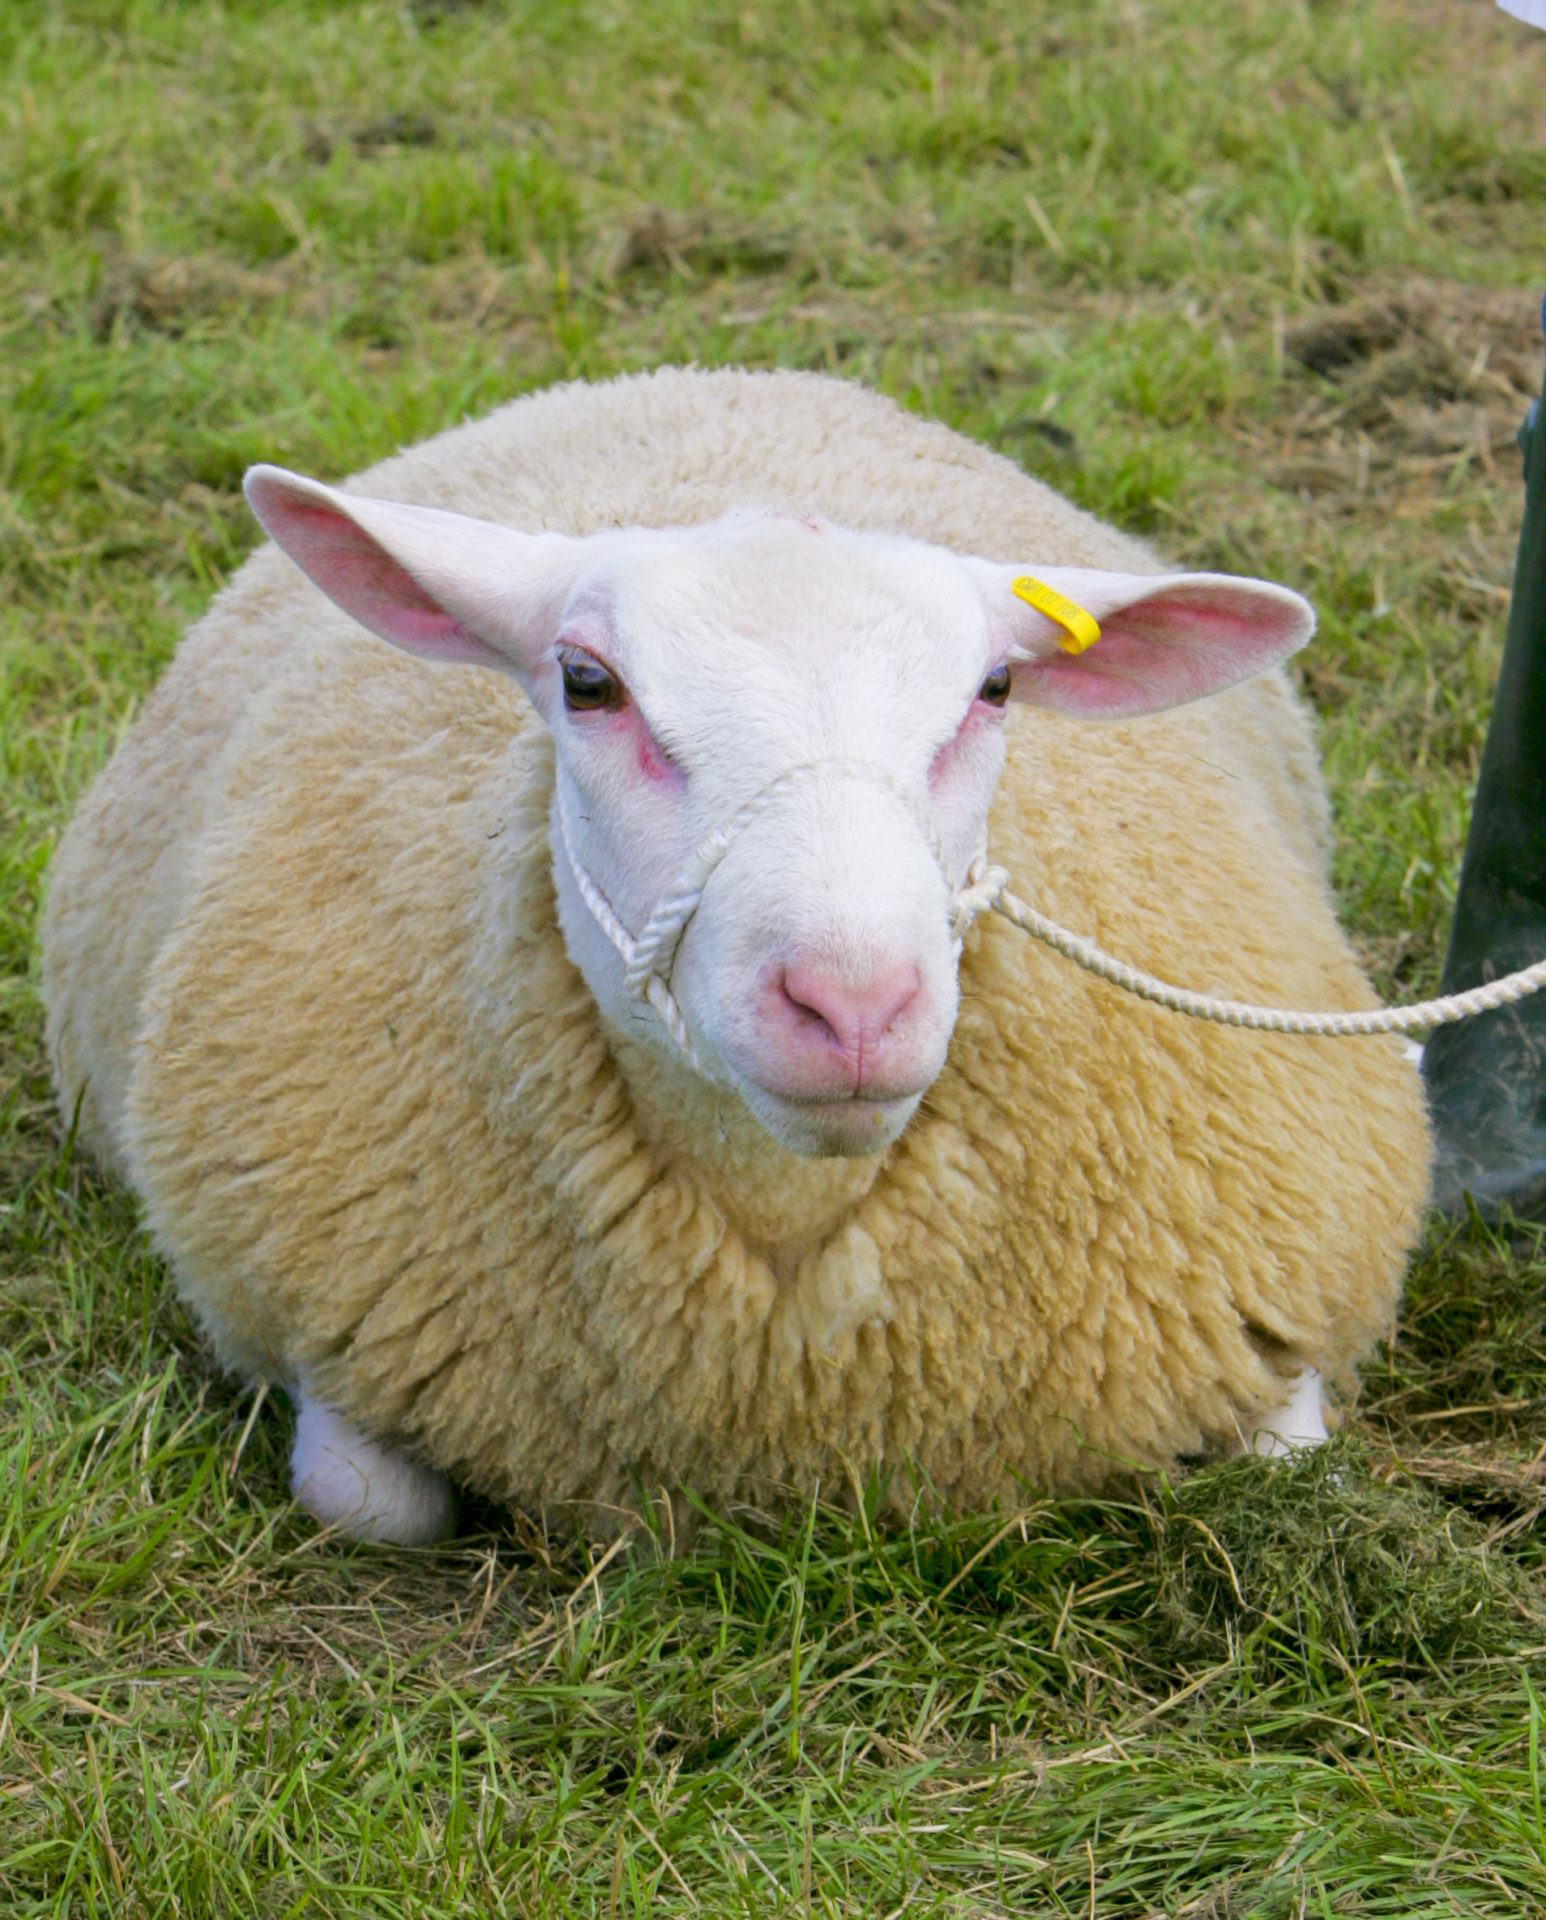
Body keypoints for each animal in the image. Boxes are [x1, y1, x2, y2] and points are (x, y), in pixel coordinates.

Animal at [42, 370, 1428, 1543]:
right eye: (586, 682)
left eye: (994, 689)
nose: (853, 1004)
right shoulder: (329, 1330)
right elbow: (370, 1506)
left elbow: (1294, 1464)